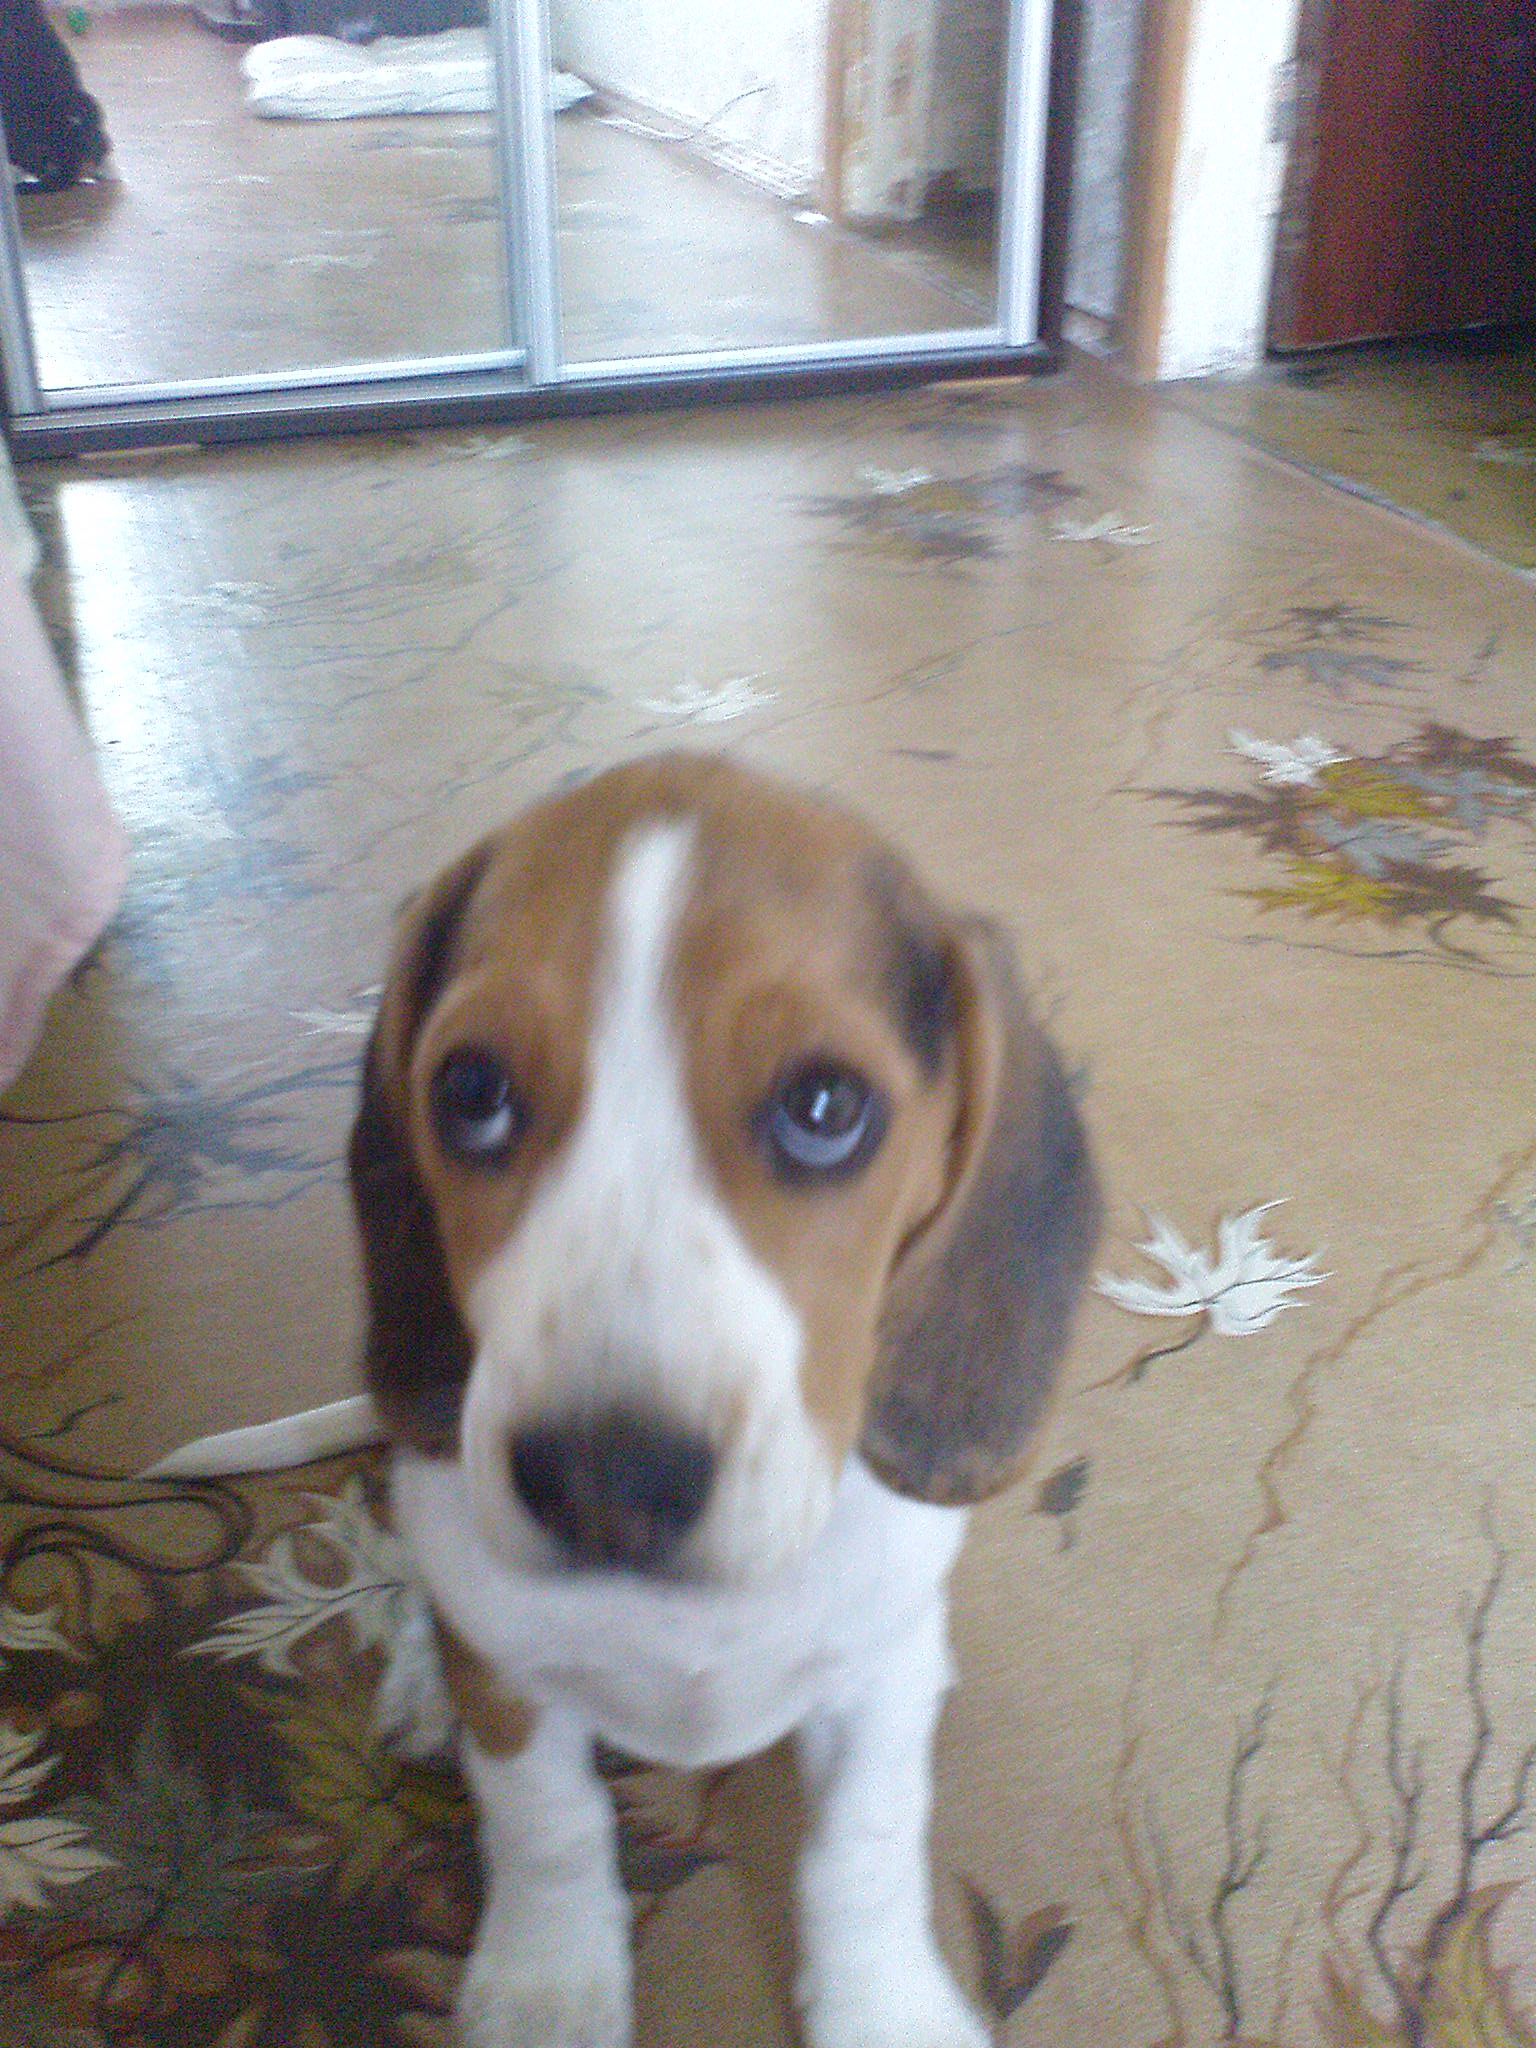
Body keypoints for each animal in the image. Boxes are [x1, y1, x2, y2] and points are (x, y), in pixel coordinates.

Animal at [159, 752, 1100, 2048]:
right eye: (472, 1089)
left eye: (825, 1106)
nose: (604, 1478)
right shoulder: (512, 1682)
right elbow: (546, 1823)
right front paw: (548, 1984)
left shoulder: (875, 1678)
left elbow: (861, 1846)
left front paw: (882, 2005)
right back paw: (417, 1684)